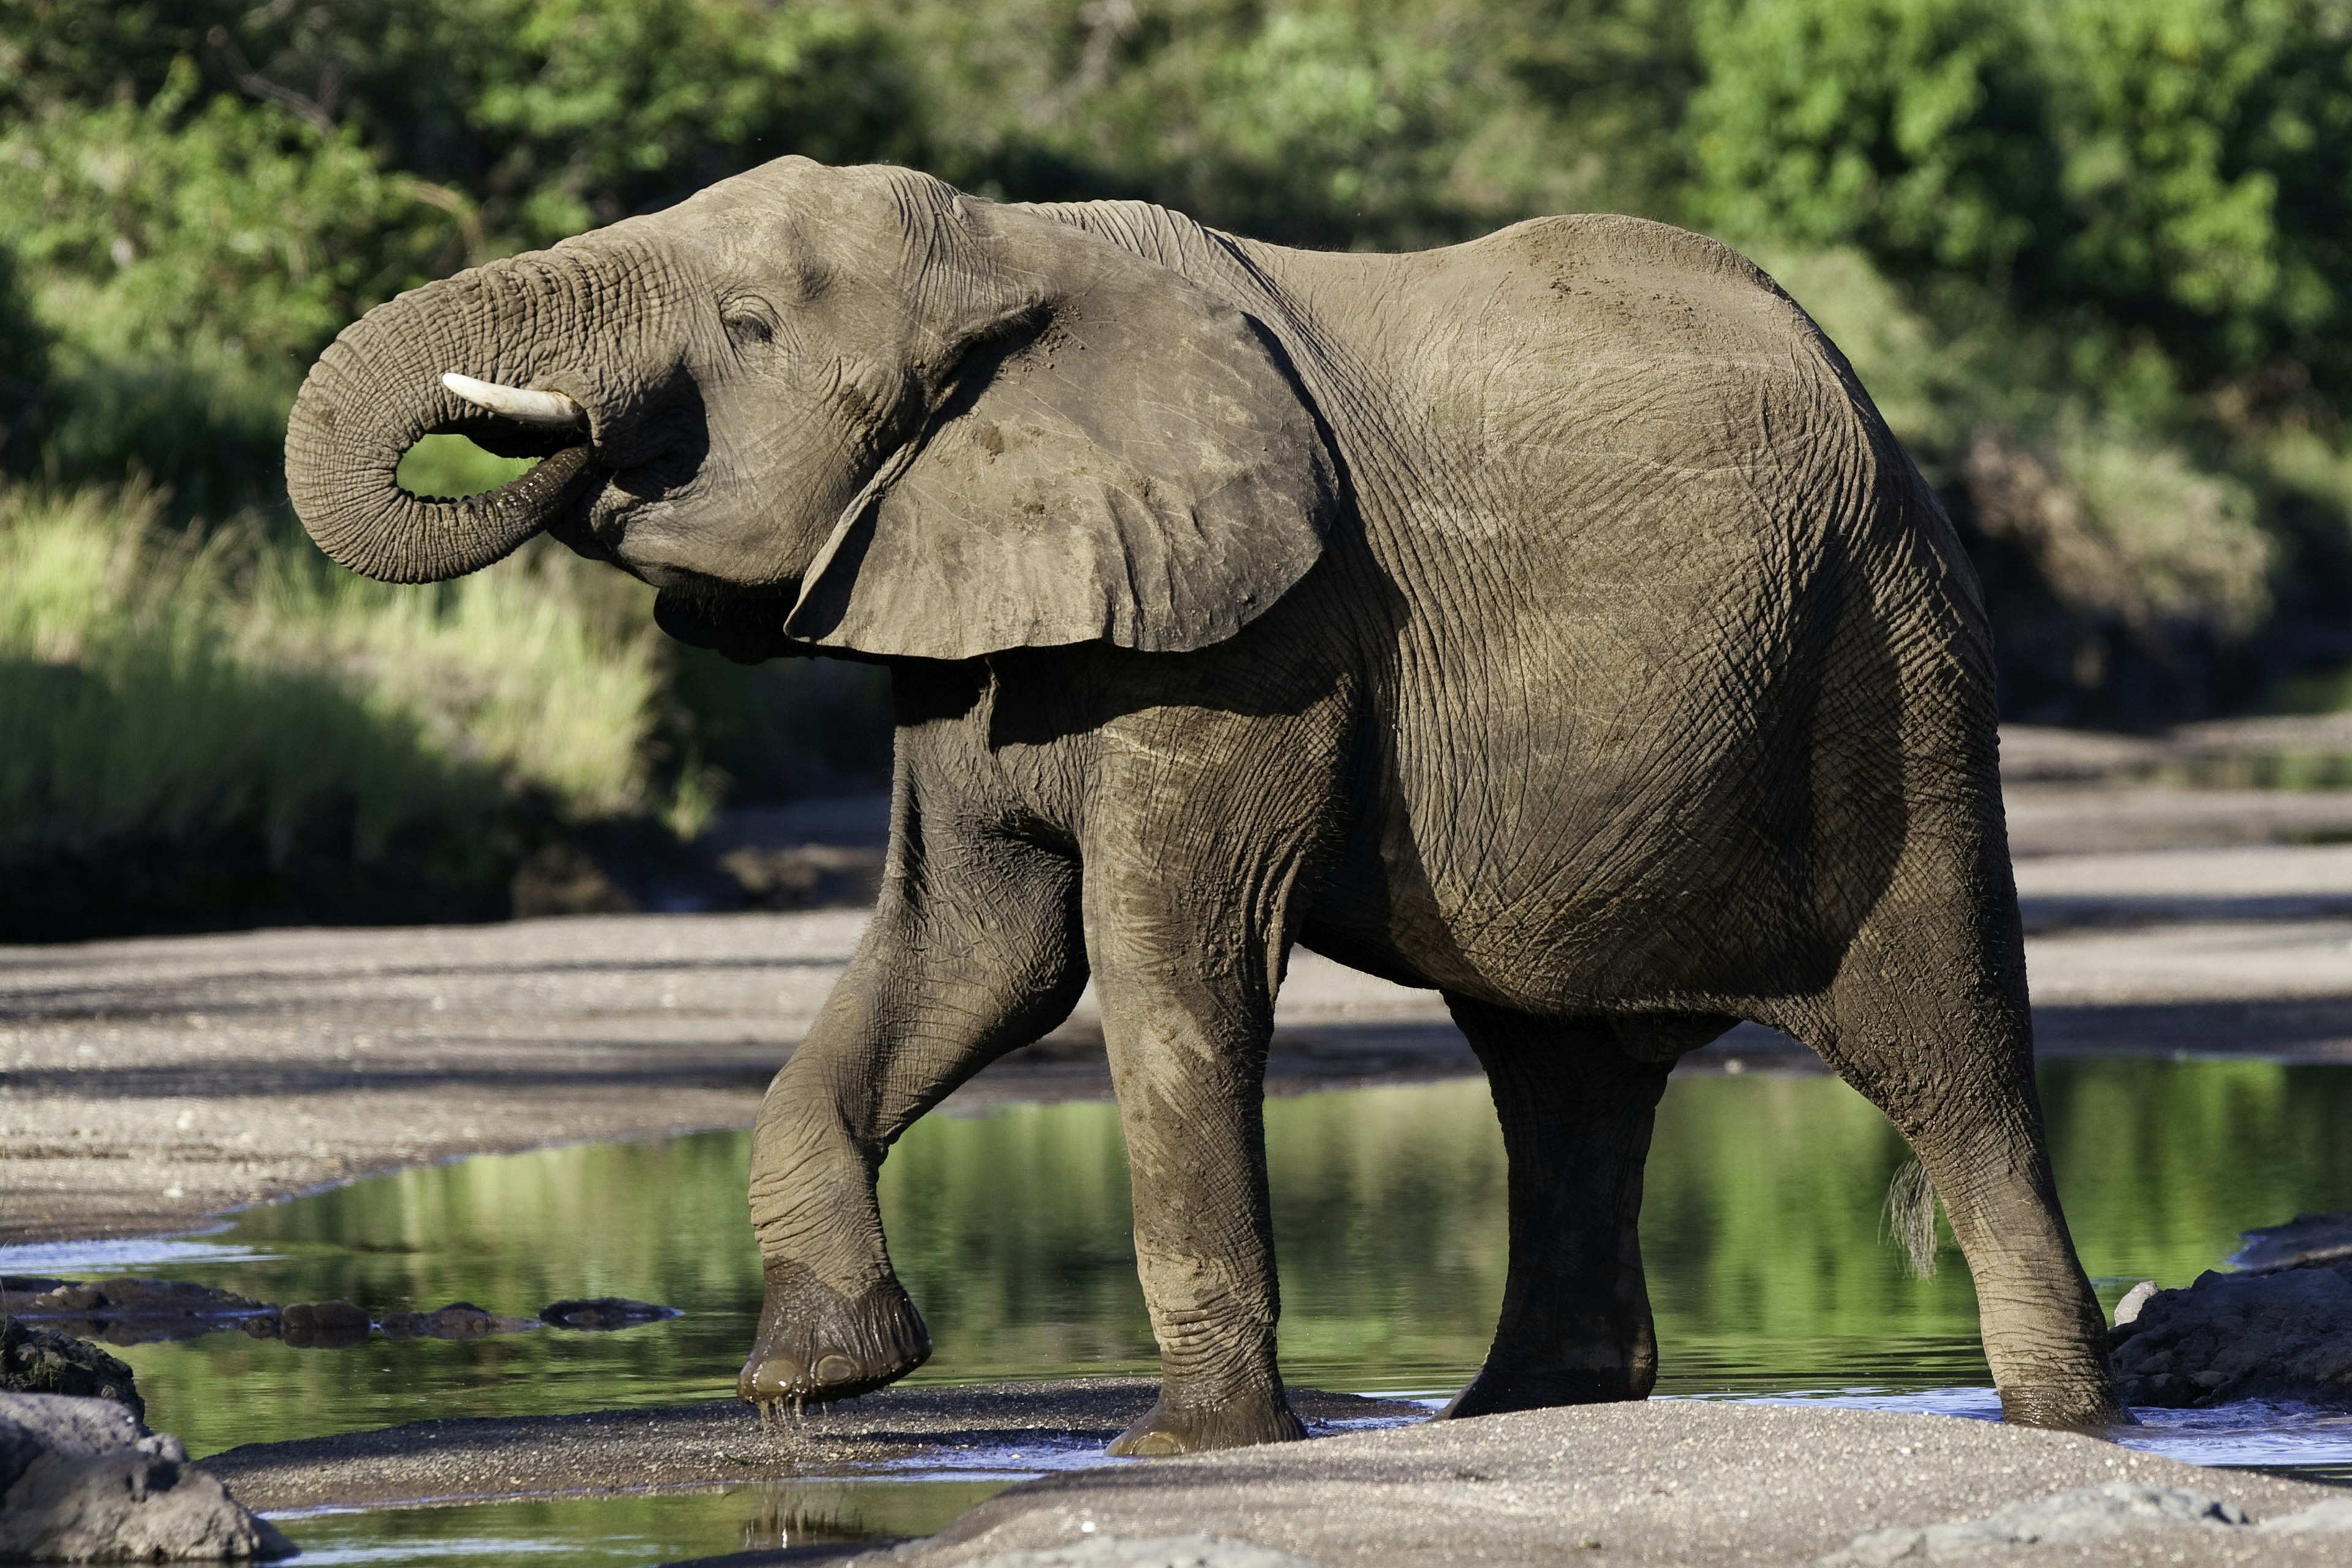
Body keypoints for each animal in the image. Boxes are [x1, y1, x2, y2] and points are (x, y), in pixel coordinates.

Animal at [284, 153, 2126, 1457]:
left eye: (748, 331)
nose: (570, 442)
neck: (1015, 252)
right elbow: (976, 953)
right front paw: (816, 1382)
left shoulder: (1261, 631)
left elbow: (1165, 963)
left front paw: (1184, 1450)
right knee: (1559, 1077)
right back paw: (1513, 1412)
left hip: (1893, 663)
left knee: (1948, 1052)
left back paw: (2065, 1420)